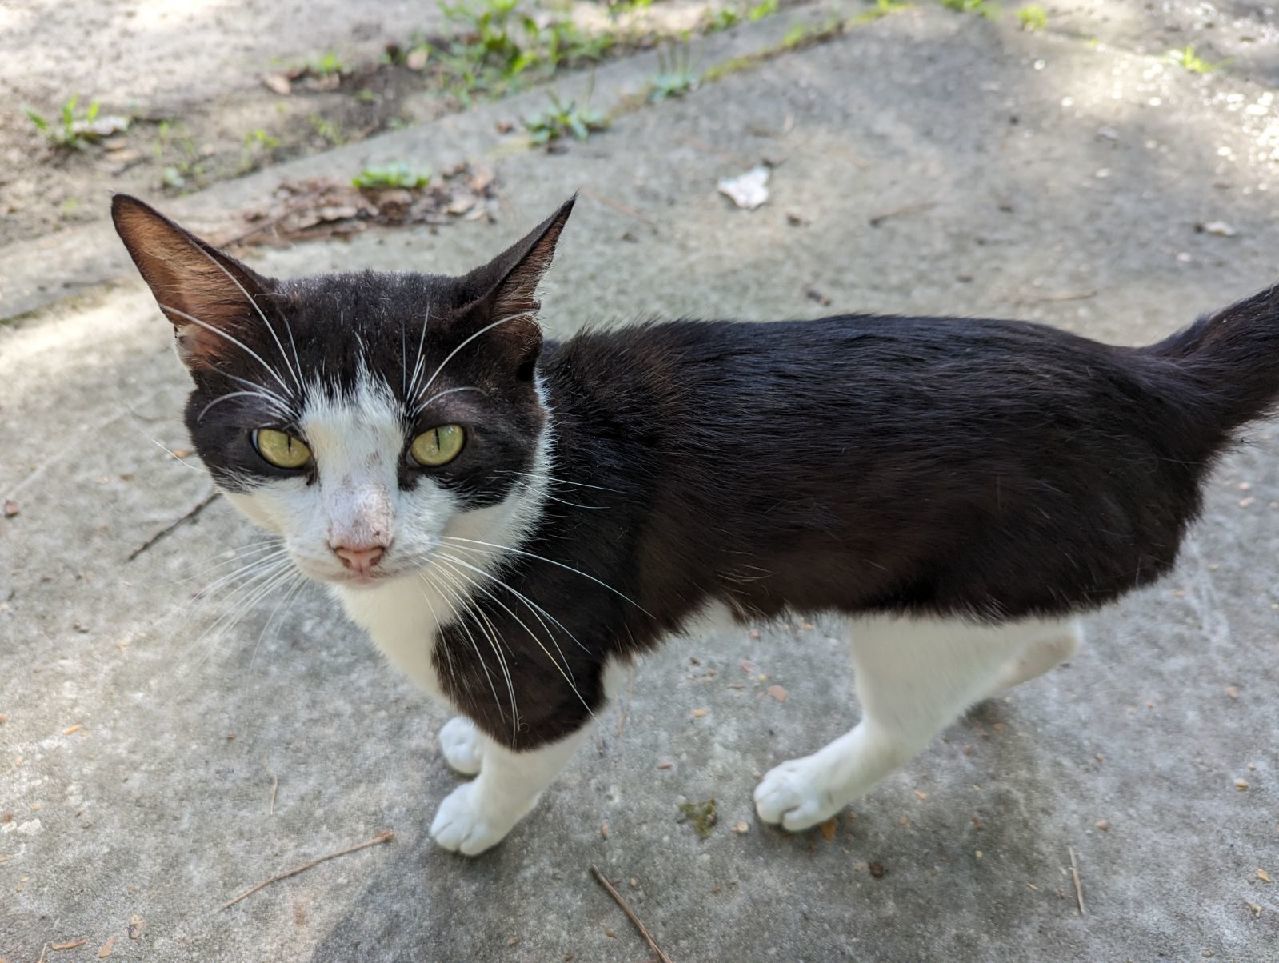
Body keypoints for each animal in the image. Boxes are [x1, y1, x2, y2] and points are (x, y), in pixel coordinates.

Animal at [112, 191, 1279, 854]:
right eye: (281, 446)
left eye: (437, 442)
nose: (359, 543)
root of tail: (1155, 379)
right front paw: (464, 737)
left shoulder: (551, 657)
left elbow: (531, 747)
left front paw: (480, 813)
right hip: (990, 586)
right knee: (1053, 633)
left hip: (923, 602)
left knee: (908, 720)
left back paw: (813, 786)